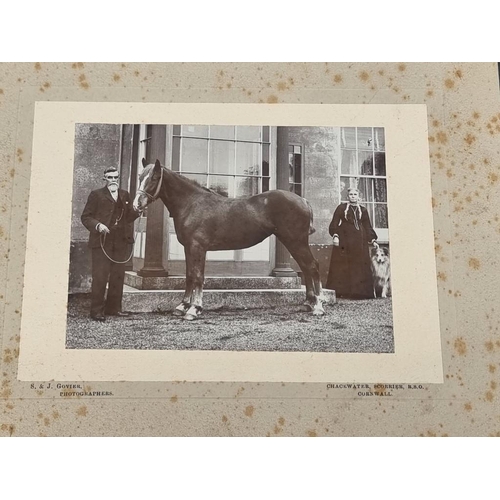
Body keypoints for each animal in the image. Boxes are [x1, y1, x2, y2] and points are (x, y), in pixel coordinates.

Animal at [135, 160, 326, 320]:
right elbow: (189, 276)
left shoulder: (198, 247)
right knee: (305, 268)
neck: (192, 204)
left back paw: (318, 306)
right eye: (140, 177)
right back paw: (308, 303)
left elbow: (197, 277)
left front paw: (194, 309)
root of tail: (303, 200)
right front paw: (182, 306)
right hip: (293, 242)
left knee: (312, 266)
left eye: (154, 177)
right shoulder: (188, 248)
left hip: (296, 241)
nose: (137, 204)